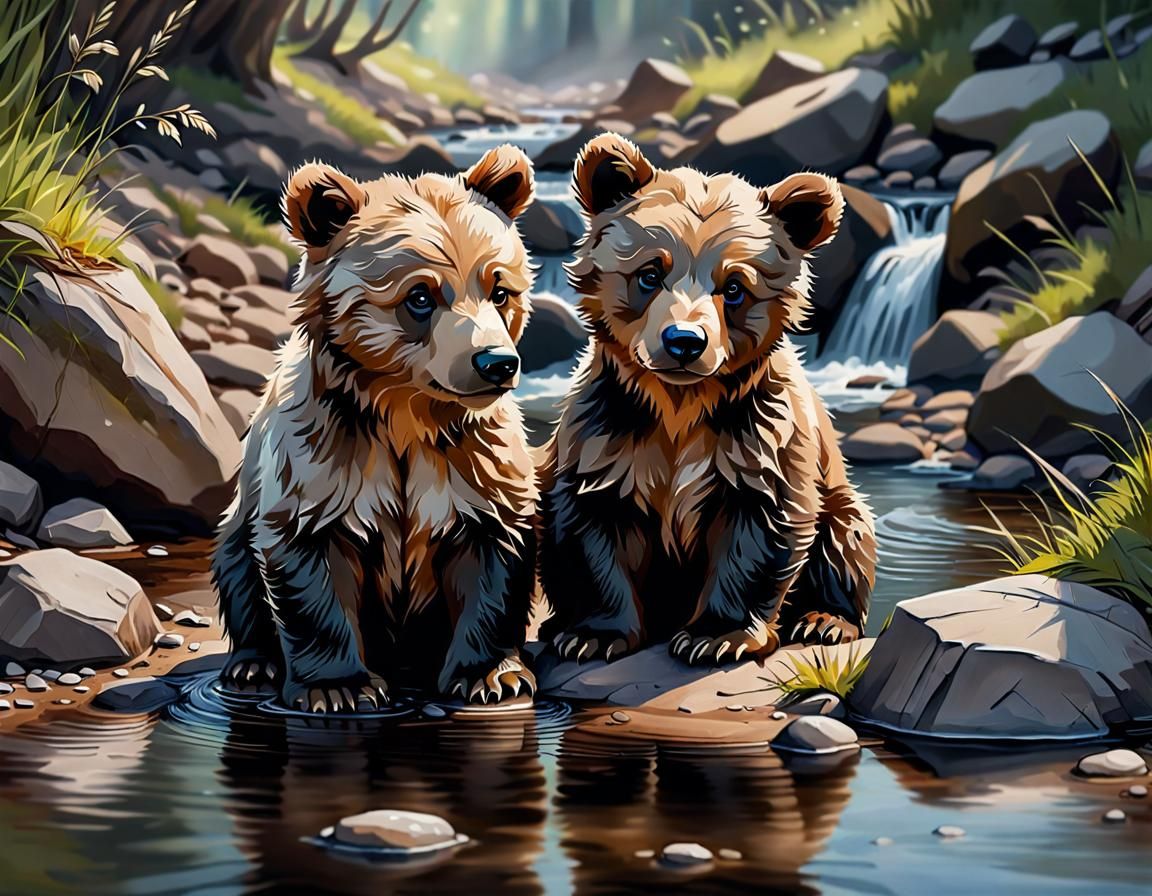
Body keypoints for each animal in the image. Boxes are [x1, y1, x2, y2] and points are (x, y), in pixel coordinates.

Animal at [212, 145, 541, 711]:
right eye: (420, 295)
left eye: (499, 289)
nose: (496, 363)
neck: (407, 414)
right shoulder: (326, 453)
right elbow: (309, 558)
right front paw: (339, 686)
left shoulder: (474, 460)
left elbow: (493, 556)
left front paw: (492, 675)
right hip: (242, 514)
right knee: (236, 563)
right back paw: (253, 664)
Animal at [538, 134, 876, 666]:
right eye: (650, 273)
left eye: (734, 286)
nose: (684, 341)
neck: (681, 404)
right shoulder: (609, 436)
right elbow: (593, 528)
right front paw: (593, 635)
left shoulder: (758, 439)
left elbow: (759, 532)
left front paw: (717, 636)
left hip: (839, 499)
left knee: (846, 537)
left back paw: (823, 620)